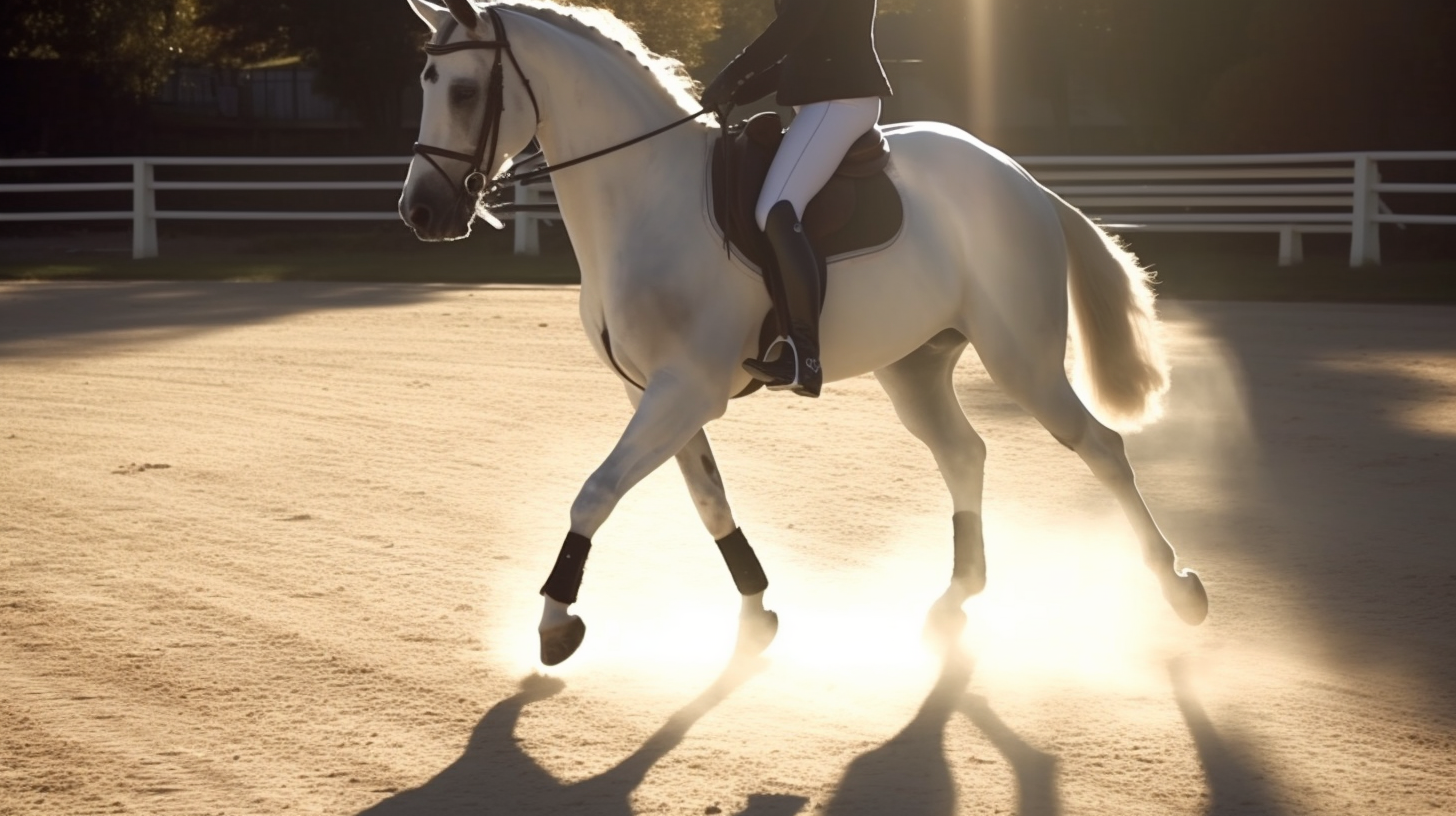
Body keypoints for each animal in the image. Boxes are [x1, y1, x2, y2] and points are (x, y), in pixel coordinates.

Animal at [398, 0, 1205, 667]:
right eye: (426, 80)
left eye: (464, 91)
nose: (421, 213)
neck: (645, 193)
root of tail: (1025, 181)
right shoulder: (654, 394)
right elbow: (708, 501)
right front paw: (757, 608)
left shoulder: (684, 389)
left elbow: (595, 492)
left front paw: (556, 621)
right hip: (914, 365)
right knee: (963, 453)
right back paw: (956, 599)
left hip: (1022, 360)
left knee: (1101, 449)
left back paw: (1179, 587)